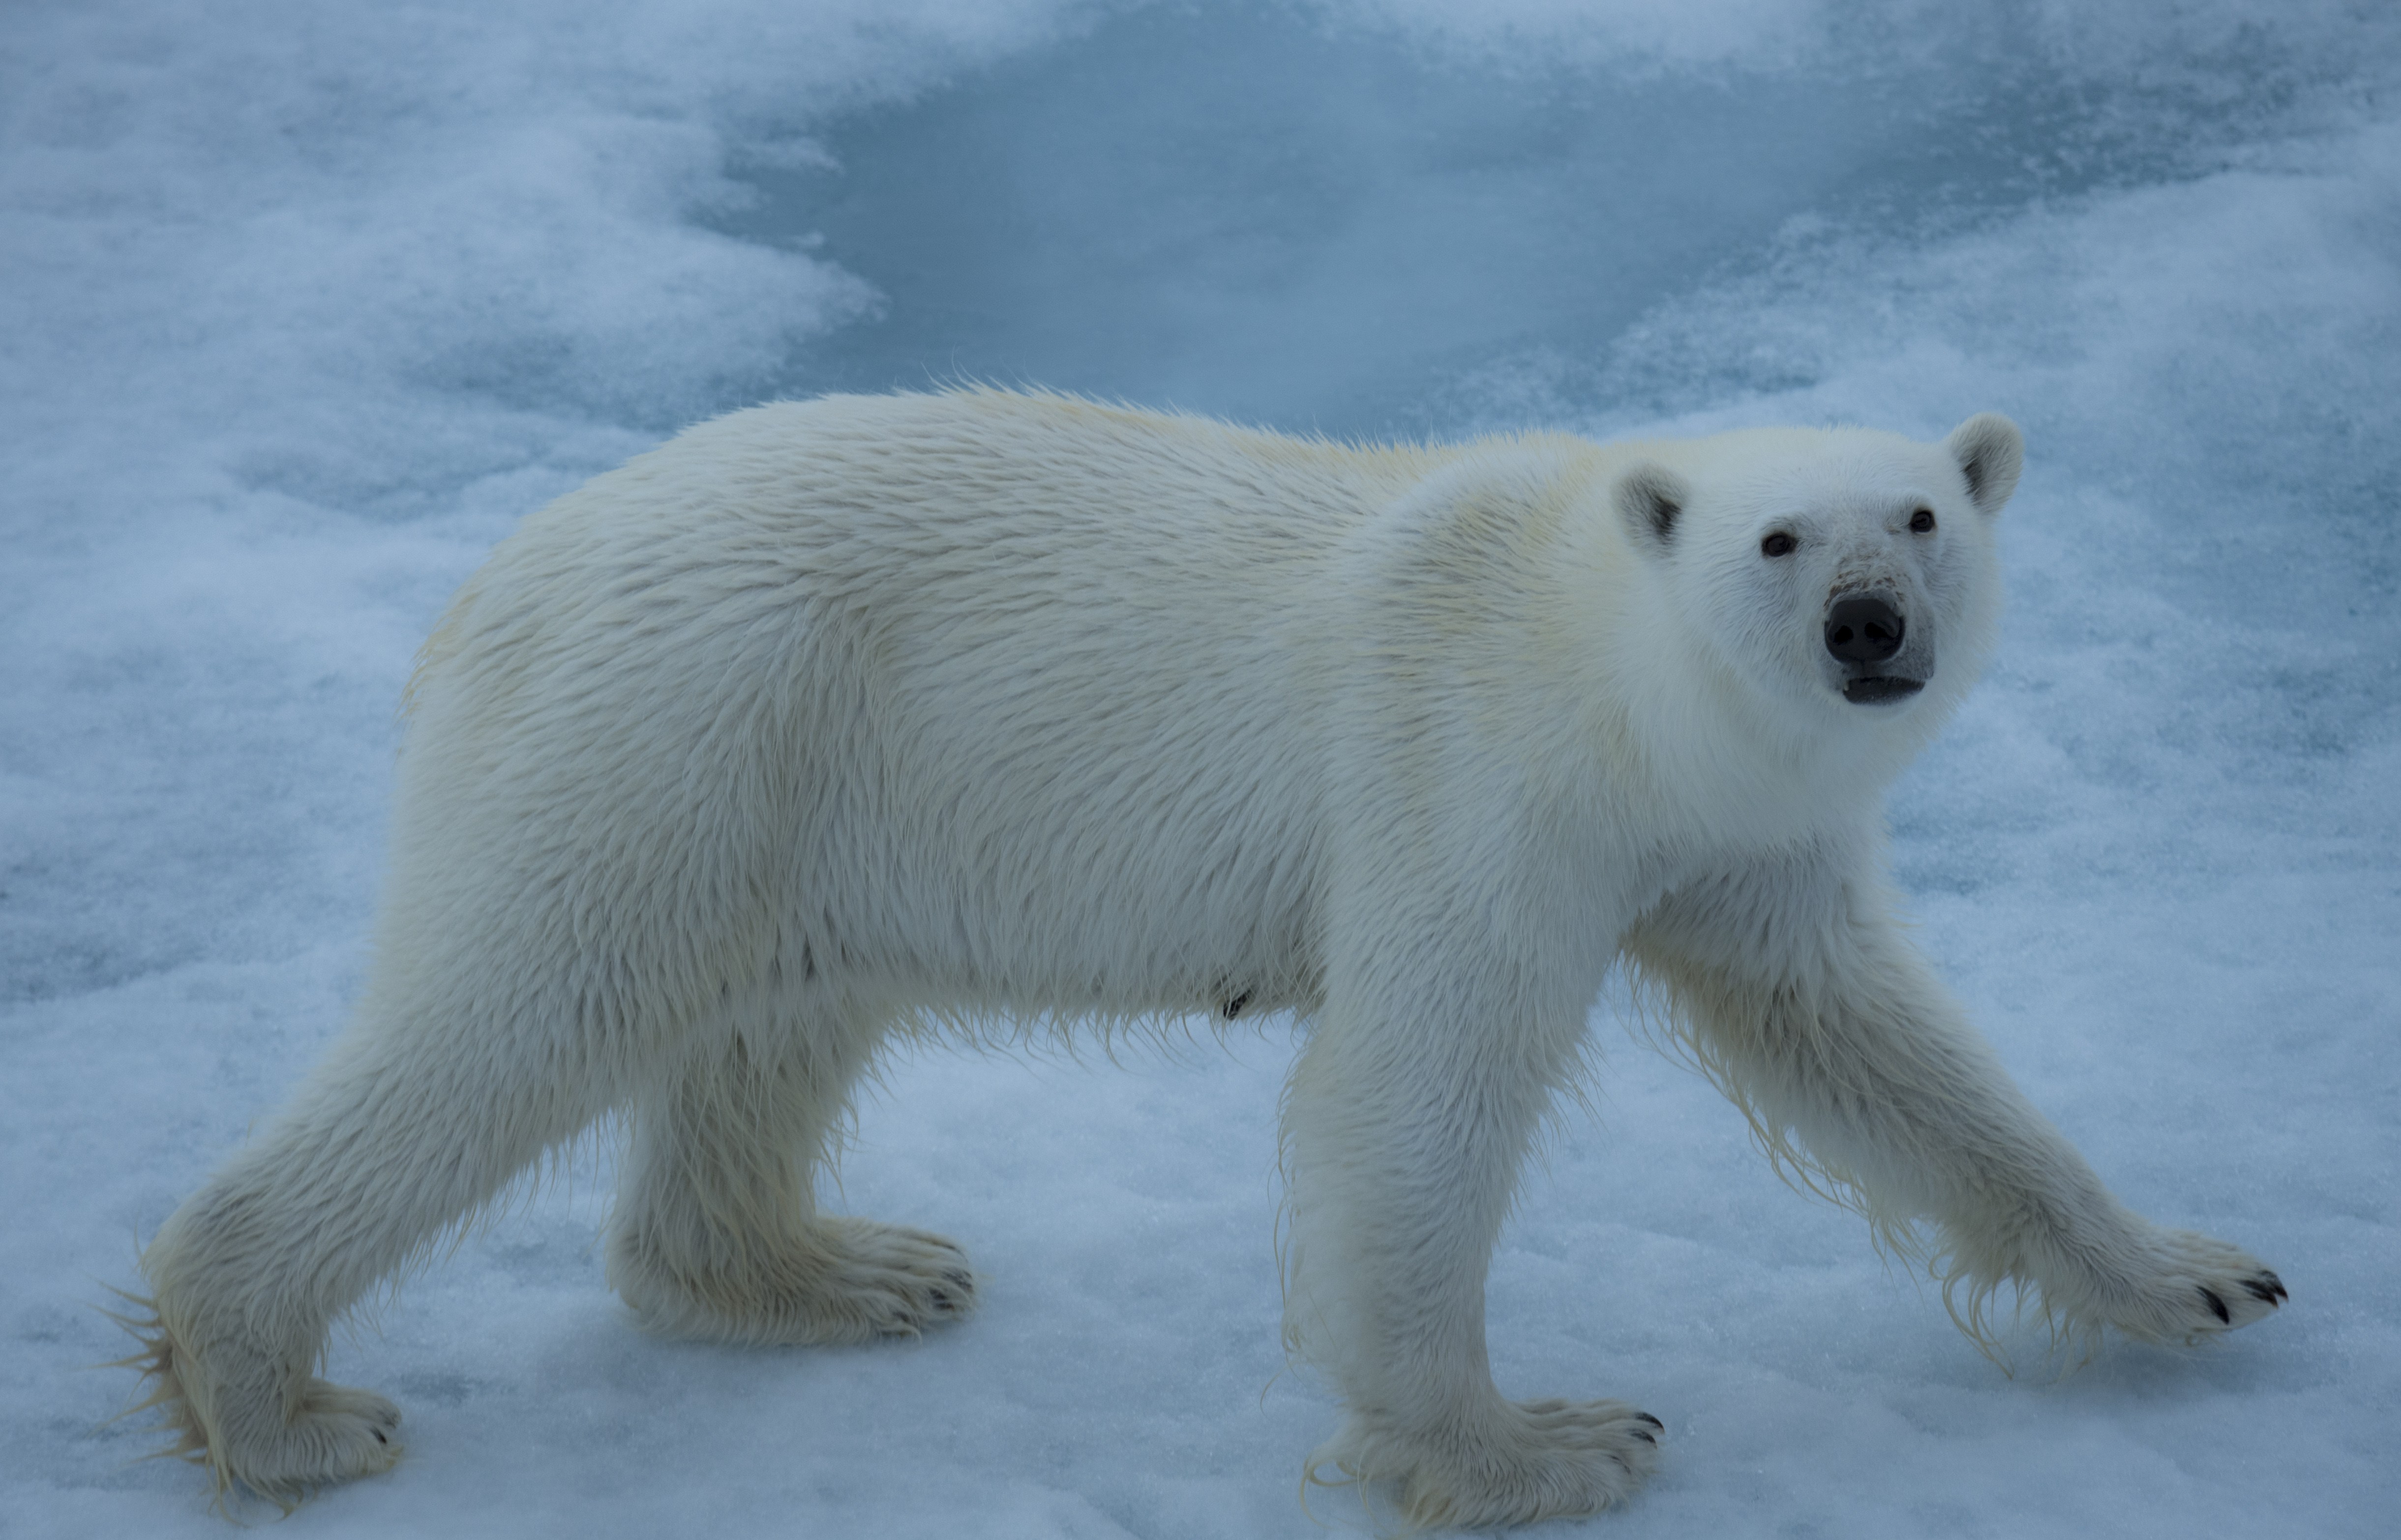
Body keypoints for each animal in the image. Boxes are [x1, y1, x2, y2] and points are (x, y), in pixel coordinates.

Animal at [126, 386, 2285, 1525]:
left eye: (1917, 515)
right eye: (1773, 540)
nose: (1863, 626)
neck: (1594, 668)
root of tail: (496, 578)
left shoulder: (1731, 850)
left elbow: (1880, 1051)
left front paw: (2195, 1274)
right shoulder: (1469, 778)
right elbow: (1414, 1088)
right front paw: (1537, 1442)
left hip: (798, 787)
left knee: (771, 1025)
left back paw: (846, 1271)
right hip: (673, 733)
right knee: (520, 1012)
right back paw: (284, 1405)